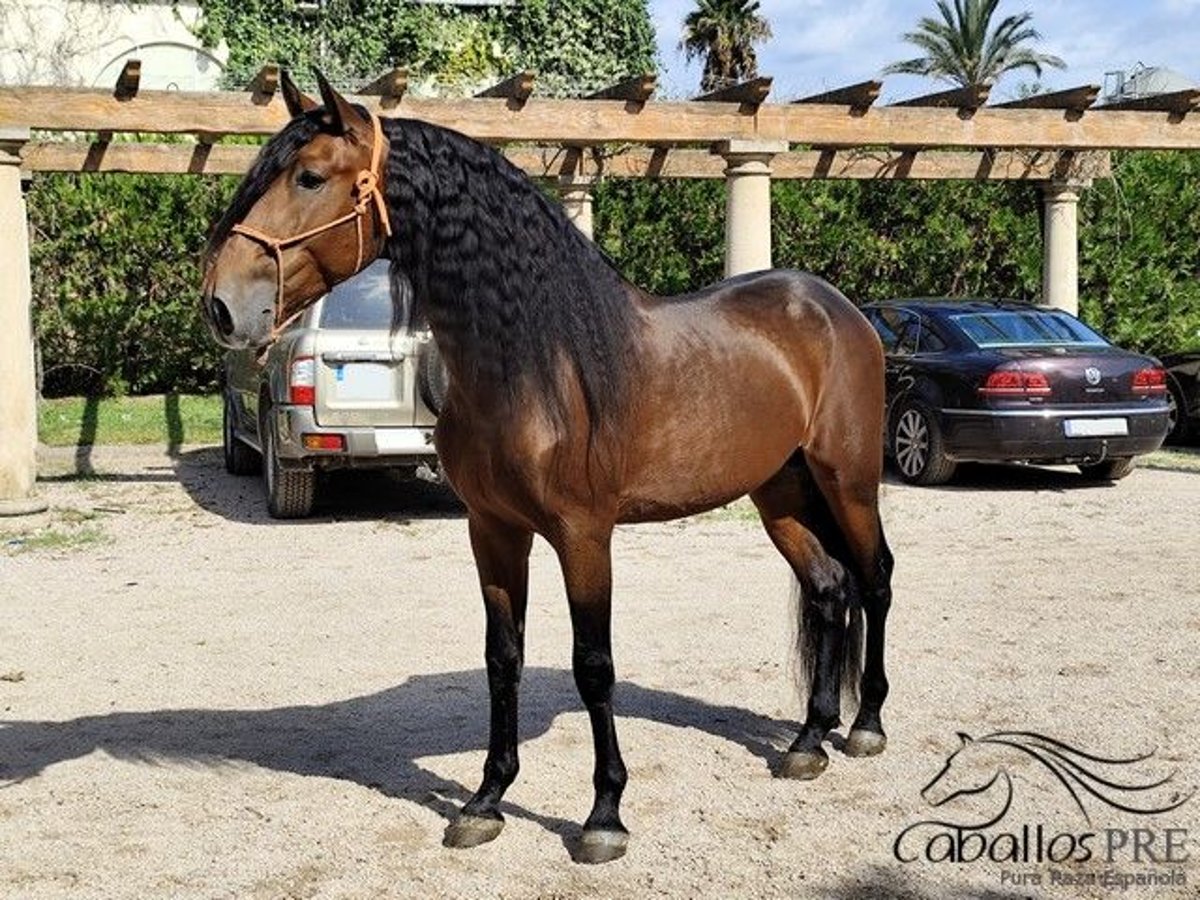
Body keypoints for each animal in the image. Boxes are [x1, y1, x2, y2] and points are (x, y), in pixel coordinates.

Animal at [200, 70, 895, 864]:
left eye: (310, 177)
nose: (222, 304)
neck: (534, 362)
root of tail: (834, 307)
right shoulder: (493, 531)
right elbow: (503, 657)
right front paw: (485, 799)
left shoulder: (584, 535)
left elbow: (593, 665)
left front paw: (604, 814)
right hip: (779, 493)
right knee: (829, 589)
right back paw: (808, 740)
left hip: (847, 481)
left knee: (874, 579)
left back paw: (865, 726)